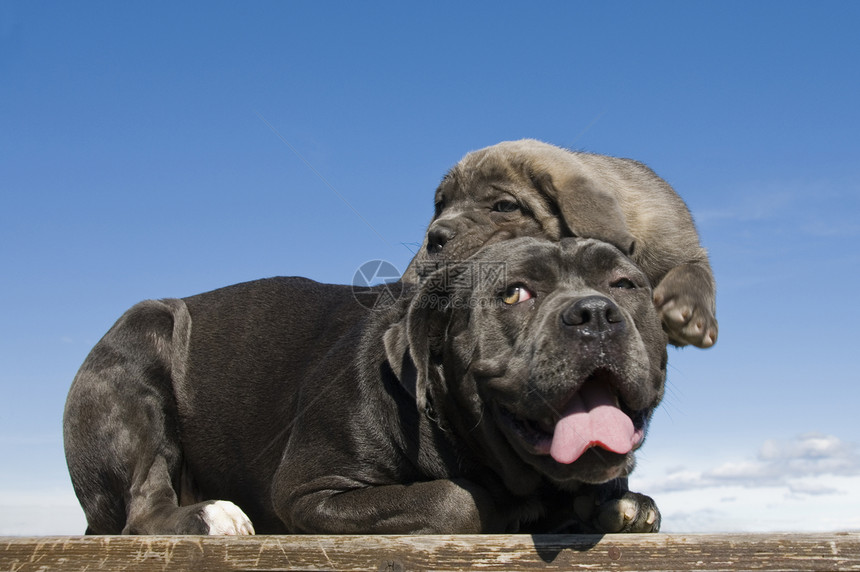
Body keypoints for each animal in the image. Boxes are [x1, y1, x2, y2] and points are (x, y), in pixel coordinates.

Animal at [63, 238, 668, 536]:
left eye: (624, 284)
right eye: (516, 293)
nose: (594, 313)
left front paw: (615, 505)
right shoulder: (311, 492)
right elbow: (455, 498)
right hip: (140, 344)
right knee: (143, 507)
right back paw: (209, 516)